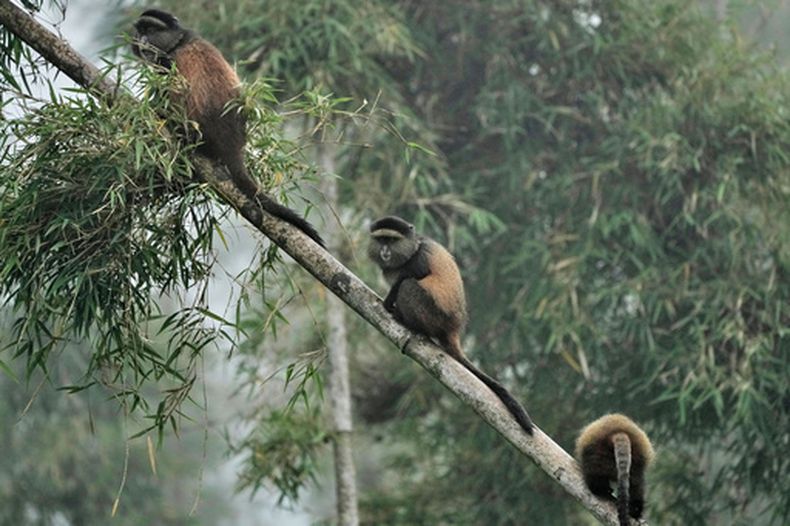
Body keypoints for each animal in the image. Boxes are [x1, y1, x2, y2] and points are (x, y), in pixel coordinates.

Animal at [131, 9, 324, 246]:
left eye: (150, 30)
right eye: (140, 31)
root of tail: (233, 143)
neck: (178, 41)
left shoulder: (167, 63)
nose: (141, 41)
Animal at [368, 215, 534, 435]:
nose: (385, 251)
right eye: (381, 240)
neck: (411, 249)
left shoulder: (419, 259)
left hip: (434, 315)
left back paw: (410, 324)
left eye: (392, 240)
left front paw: (388, 304)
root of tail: (454, 329)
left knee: (407, 286)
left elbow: (410, 277)